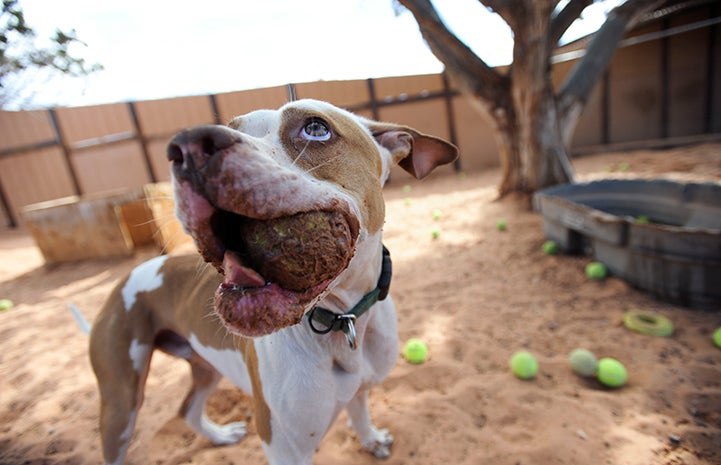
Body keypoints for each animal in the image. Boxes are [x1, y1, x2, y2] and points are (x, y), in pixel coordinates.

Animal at [90, 99, 456, 462]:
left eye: (316, 128)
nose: (187, 146)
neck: (344, 318)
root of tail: (129, 276)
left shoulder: (360, 387)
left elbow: (359, 410)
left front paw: (370, 438)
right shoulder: (284, 446)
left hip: (205, 366)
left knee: (188, 408)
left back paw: (220, 435)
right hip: (121, 401)